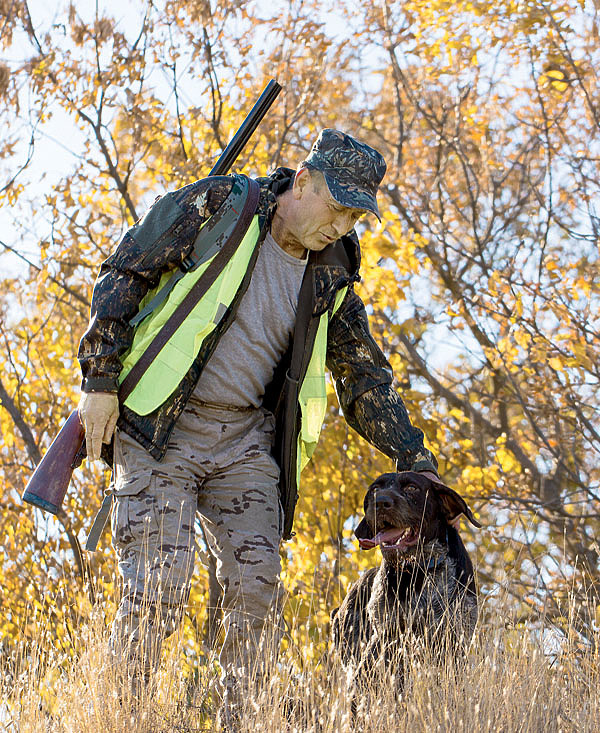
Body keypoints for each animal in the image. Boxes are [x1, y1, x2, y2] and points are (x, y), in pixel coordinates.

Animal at [330, 472, 480, 688]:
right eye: (375, 489)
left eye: (412, 488)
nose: (381, 502)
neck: (419, 570)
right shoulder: (387, 636)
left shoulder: (454, 638)